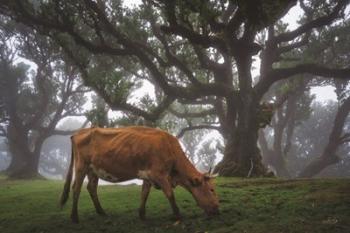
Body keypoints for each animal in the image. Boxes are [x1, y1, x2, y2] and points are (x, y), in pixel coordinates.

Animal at [59, 126, 219, 223]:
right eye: (211, 189)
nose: (217, 209)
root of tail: (79, 132)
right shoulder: (159, 175)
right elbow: (170, 194)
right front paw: (178, 215)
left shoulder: (148, 176)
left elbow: (144, 194)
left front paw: (142, 215)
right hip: (81, 166)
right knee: (76, 188)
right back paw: (74, 217)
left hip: (94, 170)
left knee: (91, 188)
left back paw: (101, 212)